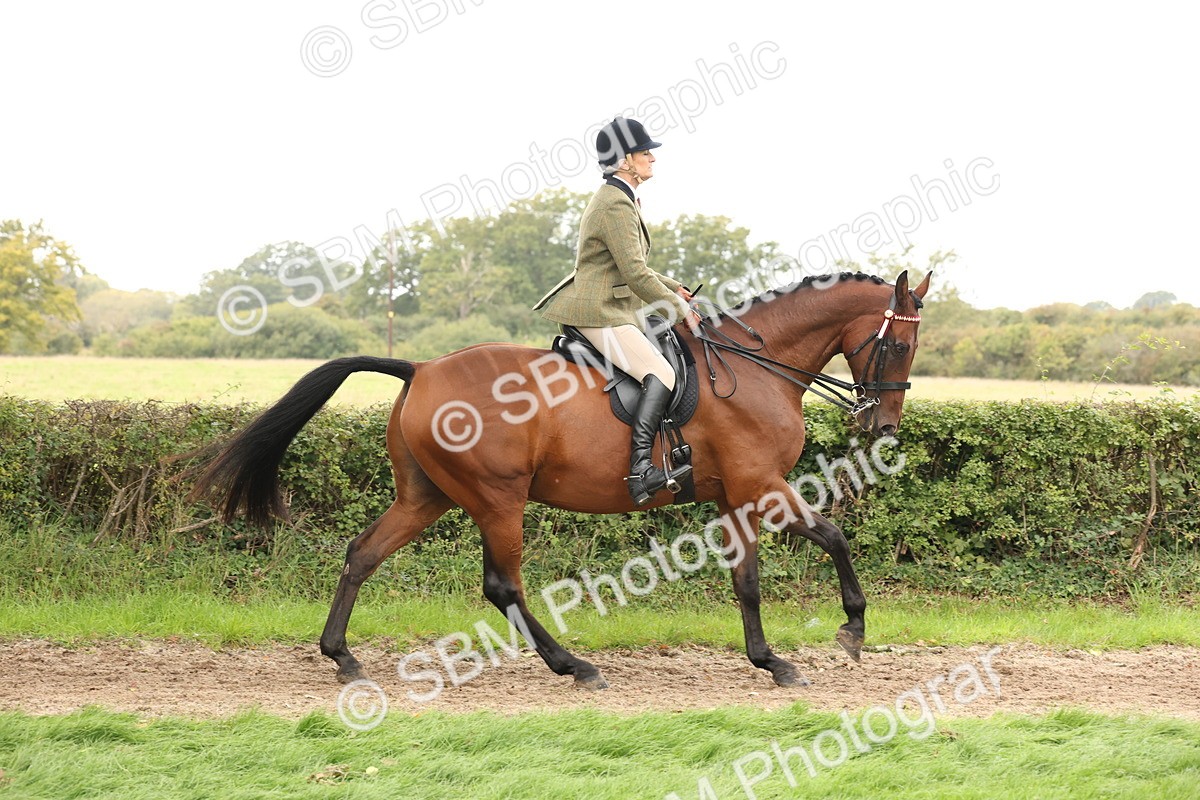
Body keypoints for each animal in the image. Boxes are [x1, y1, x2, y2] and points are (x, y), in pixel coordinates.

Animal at [191, 269, 931, 690]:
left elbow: (745, 581)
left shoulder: (736, 495)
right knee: (502, 586)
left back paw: (341, 657)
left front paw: (770, 662)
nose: (883, 425)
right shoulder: (762, 484)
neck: (756, 365)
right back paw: (574, 667)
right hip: (498, 498)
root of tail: (420, 368)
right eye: (897, 344)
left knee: (363, 553)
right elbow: (833, 536)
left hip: (425, 496)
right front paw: (852, 630)